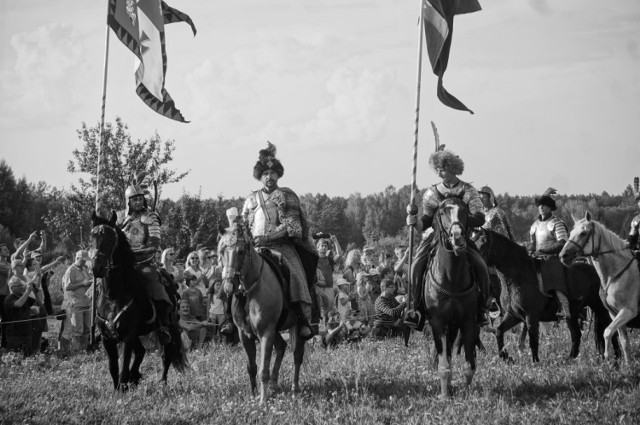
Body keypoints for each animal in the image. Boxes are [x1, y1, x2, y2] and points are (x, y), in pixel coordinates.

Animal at [91, 210, 189, 390]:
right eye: (92, 236)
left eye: (111, 238)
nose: (97, 268)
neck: (113, 296)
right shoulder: (107, 338)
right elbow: (113, 368)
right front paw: (119, 388)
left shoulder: (128, 336)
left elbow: (123, 368)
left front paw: (124, 386)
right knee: (141, 352)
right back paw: (135, 376)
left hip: (170, 326)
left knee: (166, 355)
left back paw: (162, 383)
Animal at [216, 219, 312, 404]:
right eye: (222, 251)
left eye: (240, 251)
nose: (228, 286)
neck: (250, 289)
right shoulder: (244, 334)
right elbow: (252, 367)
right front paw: (253, 395)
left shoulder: (266, 332)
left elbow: (263, 370)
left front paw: (262, 401)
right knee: (282, 346)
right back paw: (274, 384)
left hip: (296, 326)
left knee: (297, 354)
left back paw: (295, 387)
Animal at [422, 195, 478, 398]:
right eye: (442, 212)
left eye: (464, 211)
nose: (457, 237)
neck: (451, 279)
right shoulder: (438, 322)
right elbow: (443, 365)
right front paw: (445, 396)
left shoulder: (468, 321)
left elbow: (469, 365)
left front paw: (467, 393)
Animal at [472, 227, 612, 362]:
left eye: (483, 243)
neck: (518, 277)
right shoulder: (513, 315)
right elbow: (499, 331)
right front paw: (506, 357)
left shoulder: (531, 317)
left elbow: (533, 341)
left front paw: (535, 362)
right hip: (573, 315)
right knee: (576, 334)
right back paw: (570, 358)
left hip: (599, 308)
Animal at [556, 210, 636, 362]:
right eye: (571, 233)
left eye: (583, 233)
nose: (563, 255)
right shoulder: (614, 314)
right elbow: (624, 342)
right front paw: (627, 366)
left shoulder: (628, 311)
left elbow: (608, 332)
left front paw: (607, 356)